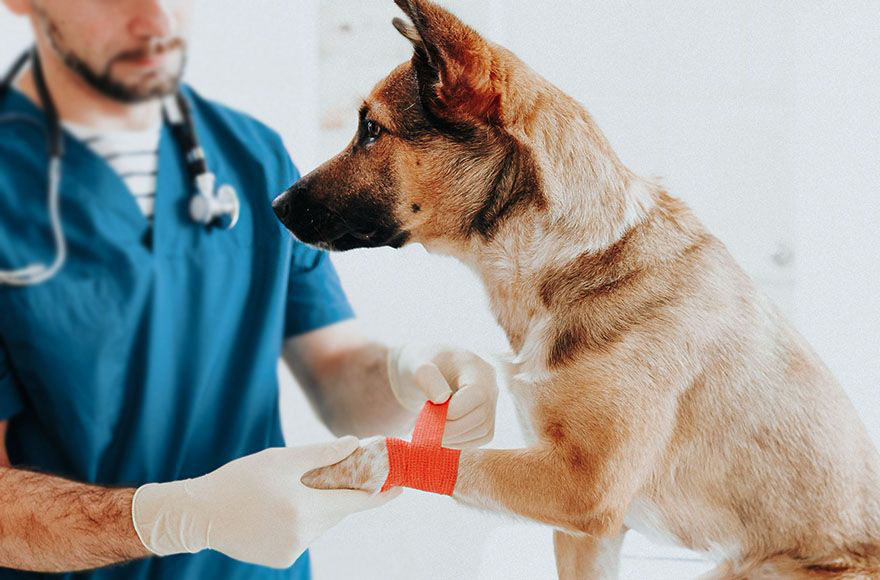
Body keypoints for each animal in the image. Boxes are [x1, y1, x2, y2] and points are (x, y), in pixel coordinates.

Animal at [272, 2, 876, 576]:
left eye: (372, 130)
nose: (275, 205)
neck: (573, 260)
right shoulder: (587, 531)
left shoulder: (583, 488)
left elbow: (392, 450)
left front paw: (333, 466)